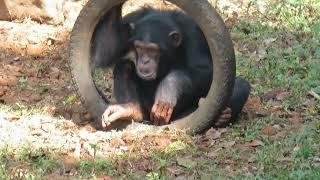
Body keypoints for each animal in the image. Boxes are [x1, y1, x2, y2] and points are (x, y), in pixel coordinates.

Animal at [96, 7, 251, 128]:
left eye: (153, 50)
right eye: (139, 47)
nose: (145, 61)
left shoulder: (194, 34)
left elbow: (205, 69)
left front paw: (169, 87)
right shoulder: (132, 21)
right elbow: (107, 51)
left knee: (242, 85)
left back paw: (223, 116)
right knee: (124, 65)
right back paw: (129, 109)